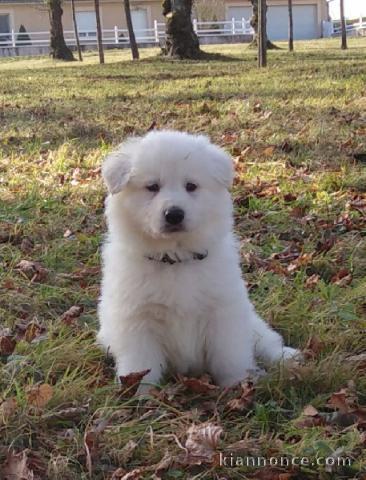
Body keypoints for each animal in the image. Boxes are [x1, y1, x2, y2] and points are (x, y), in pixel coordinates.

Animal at [98, 130, 300, 390]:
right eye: (152, 187)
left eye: (191, 186)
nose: (174, 214)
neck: (176, 259)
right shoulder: (137, 319)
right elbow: (141, 363)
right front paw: (140, 392)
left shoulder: (223, 312)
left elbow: (229, 355)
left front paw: (236, 384)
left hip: (251, 321)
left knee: (267, 341)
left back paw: (288, 357)